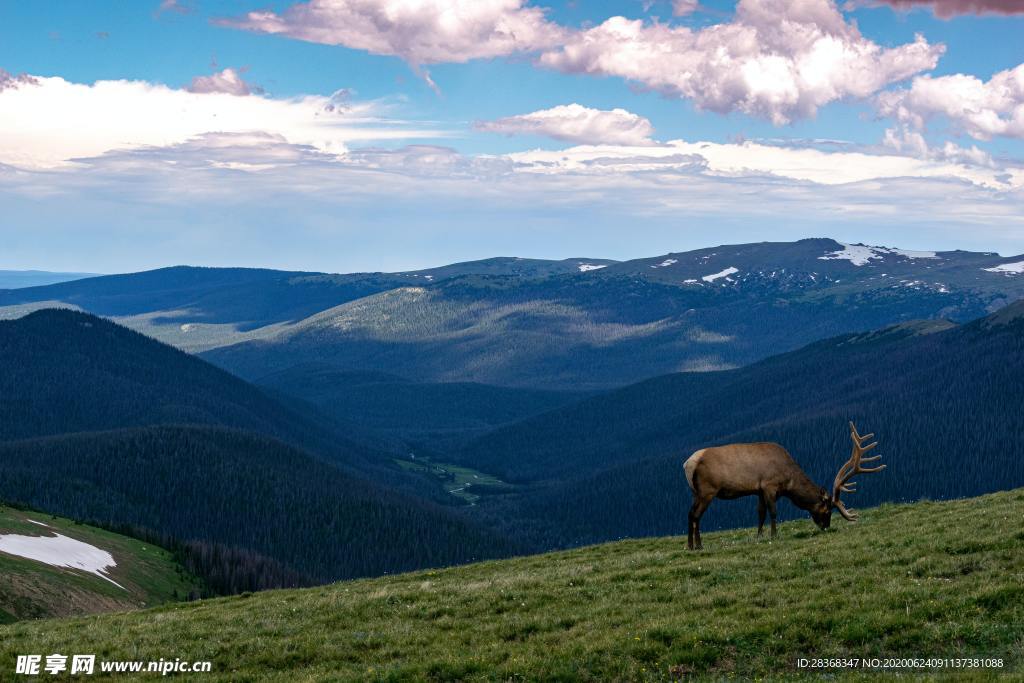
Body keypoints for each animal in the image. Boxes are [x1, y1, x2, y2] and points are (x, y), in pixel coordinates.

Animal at [684, 421, 884, 548]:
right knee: (696, 515)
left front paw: (759, 536)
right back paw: (698, 545)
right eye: (827, 510)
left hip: (696, 492)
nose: (826, 527)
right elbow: (773, 512)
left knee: (690, 514)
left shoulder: (759, 490)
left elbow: (760, 514)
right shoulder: (769, 485)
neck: (789, 482)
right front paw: (774, 535)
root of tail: (688, 464)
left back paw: (691, 545)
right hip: (708, 490)